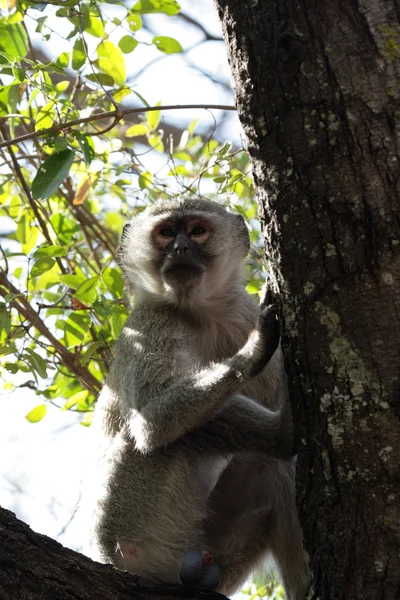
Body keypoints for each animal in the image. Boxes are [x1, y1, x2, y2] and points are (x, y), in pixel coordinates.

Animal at [83, 198, 310, 600]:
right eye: (166, 233)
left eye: (197, 231)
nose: (180, 249)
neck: (202, 313)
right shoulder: (152, 323)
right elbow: (151, 420)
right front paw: (254, 350)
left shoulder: (241, 311)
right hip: (129, 526)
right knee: (166, 435)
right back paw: (284, 433)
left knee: (269, 471)